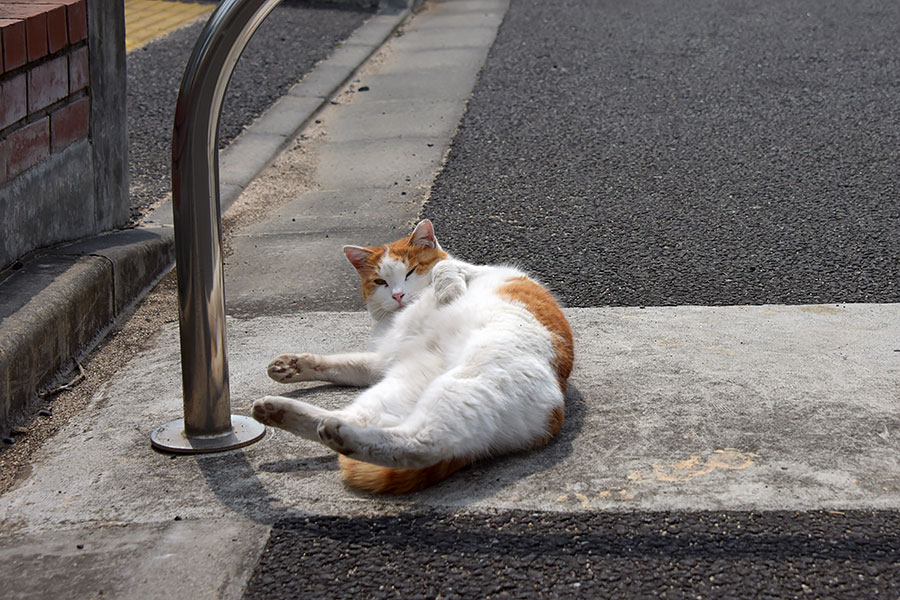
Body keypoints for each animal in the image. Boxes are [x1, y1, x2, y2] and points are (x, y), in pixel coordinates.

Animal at [251, 219, 576, 492]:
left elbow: (446, 270)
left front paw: (447, 291)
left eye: (410, 272)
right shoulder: (380, 362)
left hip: (462, 385)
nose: (398, 295)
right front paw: (291, 365)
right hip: (397, 387)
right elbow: (338, 363)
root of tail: (555, 412)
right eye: (380, 282)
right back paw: (281, 413)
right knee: (361, 420)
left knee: (423, 445)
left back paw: (338, 434)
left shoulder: (478, 270)